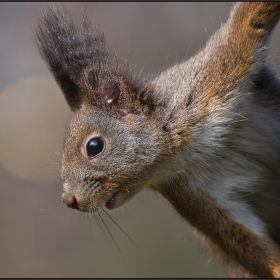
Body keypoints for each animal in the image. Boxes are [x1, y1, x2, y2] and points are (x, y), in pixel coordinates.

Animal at [35, 2, 280, 278]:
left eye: (94, 146)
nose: (69, 200)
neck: (183, 149)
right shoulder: (195, 193)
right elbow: (243, 238)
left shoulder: (216, 73)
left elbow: (248, 21)